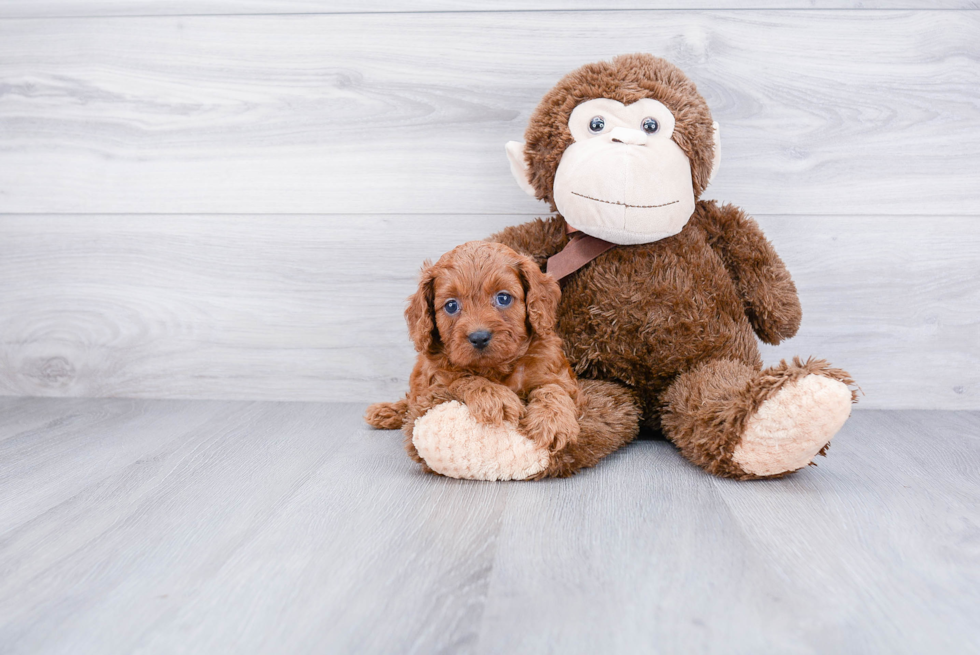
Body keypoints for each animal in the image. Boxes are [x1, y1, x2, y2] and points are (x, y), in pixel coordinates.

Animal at [368, 238, 580, 464]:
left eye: (503, 298)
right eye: (451, 305)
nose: (479, 337)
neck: (496, 368)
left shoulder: (554, 371)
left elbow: (553, 389)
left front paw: (552, 421)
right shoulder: (434, 384)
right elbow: (463, 378)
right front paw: (495, 397)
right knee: (410, 402)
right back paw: (386, 411)